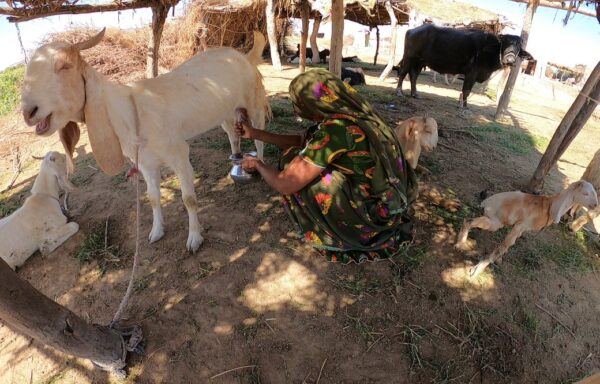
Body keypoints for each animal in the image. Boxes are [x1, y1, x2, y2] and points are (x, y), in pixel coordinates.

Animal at [21, 29, 268, 252]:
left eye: (64, 66)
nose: (28, 112)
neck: (131, 111)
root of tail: (244, 56)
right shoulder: (146, 164)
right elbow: (152, 198)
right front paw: (156, 231)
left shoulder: (179, 154)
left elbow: (188, 198)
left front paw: (194, 239)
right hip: (226, 112)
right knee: (233, 135)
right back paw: (236, 160)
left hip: (254, 102)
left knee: (260, 138)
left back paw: (260, 165)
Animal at [396, 24, 532, 109]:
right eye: (505, 43)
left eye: (518, 46)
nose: (509, 60)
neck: (488, 50)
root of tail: (412, 30)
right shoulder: (471, 74)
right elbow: (466, 90)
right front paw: (465, 107)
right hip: (409, 57)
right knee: (402, 72)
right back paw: (399, 92)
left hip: (420, 62)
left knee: (413, 76)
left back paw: (415, 94)